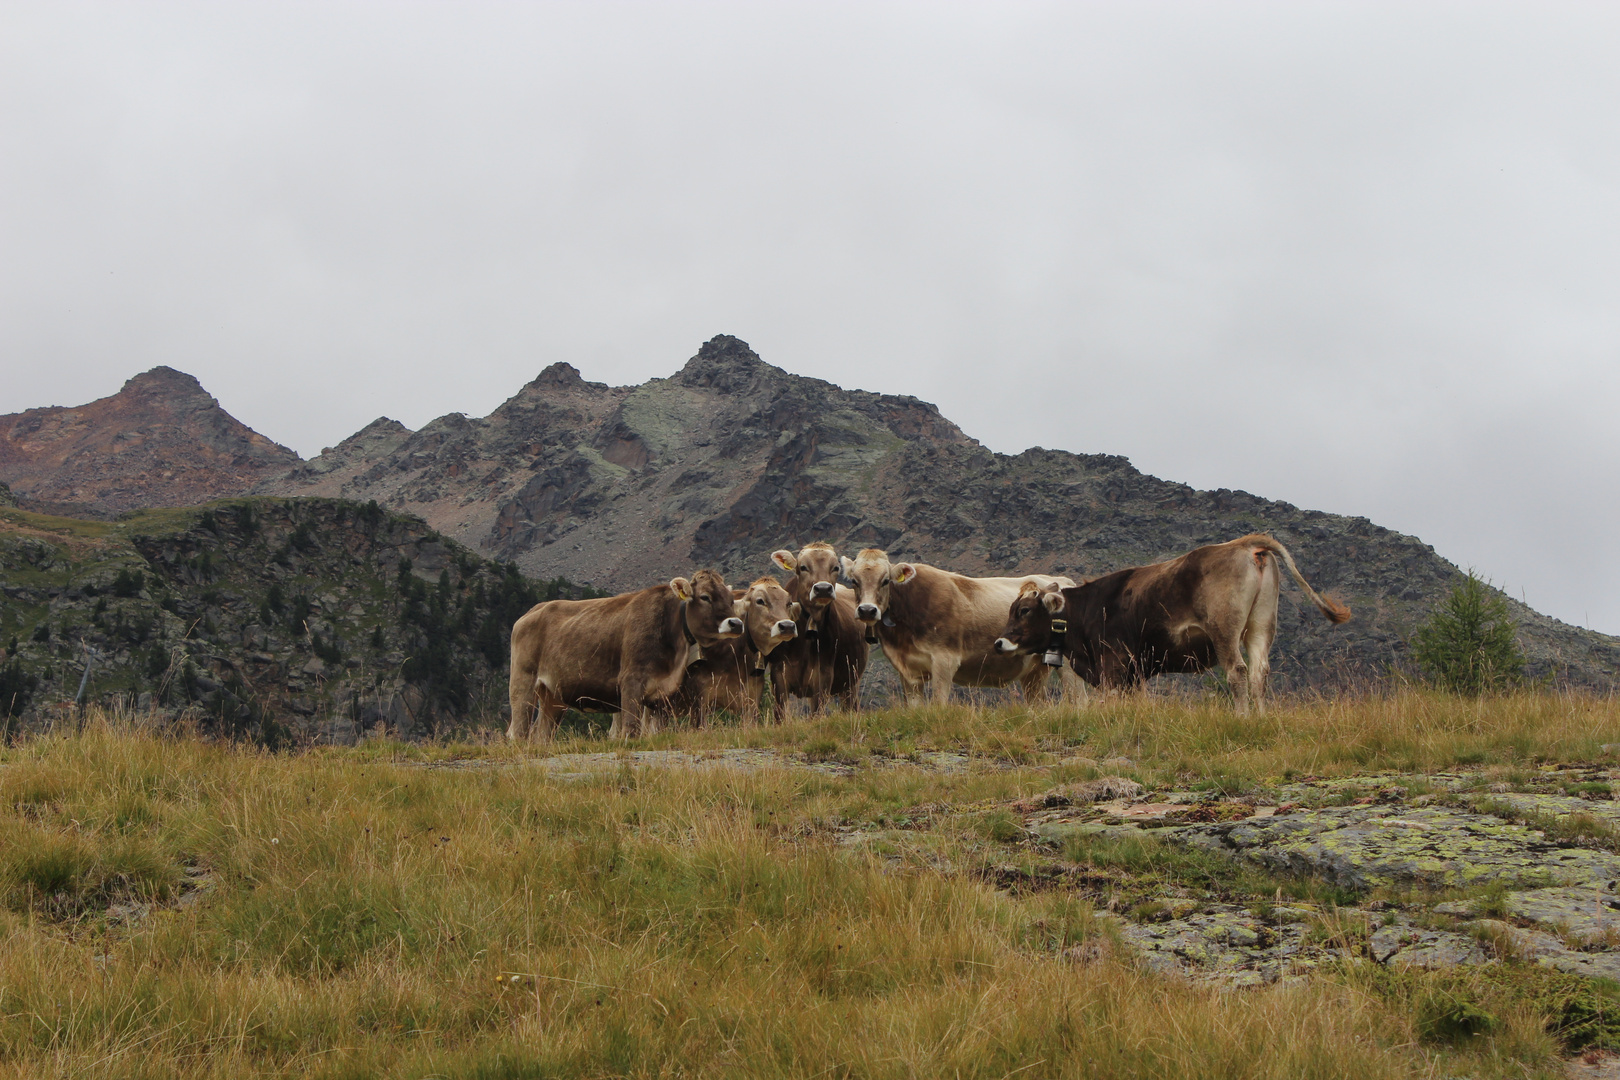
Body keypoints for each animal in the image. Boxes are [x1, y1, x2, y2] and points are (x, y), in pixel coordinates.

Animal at [505, 566, 745, 744]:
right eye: (705, 597)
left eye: (731, 600)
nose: (736, 623)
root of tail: (534, 610)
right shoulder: (631, 681)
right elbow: (631, 730)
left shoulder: (664, 693)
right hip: (523, 683)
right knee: (519, 731)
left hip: (553, 695)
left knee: (542, 735)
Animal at [764, 544, 868, 722]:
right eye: (803, 567)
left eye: (835, 567)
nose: (823, 589)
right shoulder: (778, 673)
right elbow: (781, 716)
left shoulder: (823, 675)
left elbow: (816, 714)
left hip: (851, 681)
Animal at [835, 550, 1075, 709]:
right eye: (854, 581)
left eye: (885, 581)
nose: (867, 610)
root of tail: (1061, 581)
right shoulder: (908, 671)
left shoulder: (945, 659)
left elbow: (938, 705)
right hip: (1035, 670)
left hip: (1068, 661)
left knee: (1078, 698)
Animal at [984, 534, 1354, 718]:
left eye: (1024, 610)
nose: (999, 643)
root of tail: (1244, 544)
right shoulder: (1134, 672)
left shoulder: (1114, 664)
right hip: (1261, 625)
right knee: (1259, 672)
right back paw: (1262, 717)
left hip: (1225, 630)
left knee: (1237, 671)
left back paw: (1243, 717)